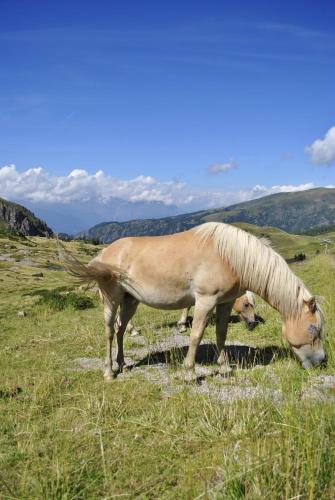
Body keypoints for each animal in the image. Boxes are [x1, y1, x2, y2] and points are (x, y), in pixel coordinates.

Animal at [61, 221, 326, 380]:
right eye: (314, 329)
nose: (321, 362)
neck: (229, 256)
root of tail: (104, 253)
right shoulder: (205, 302)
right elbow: (196, 335)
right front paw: (189, 373)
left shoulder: (224, 303)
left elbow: (221, 334)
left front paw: (224, 367)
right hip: (111, 299)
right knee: (108, 331)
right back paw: (109, 371)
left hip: (130, 301)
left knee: (120, 329)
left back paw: (123, 364)